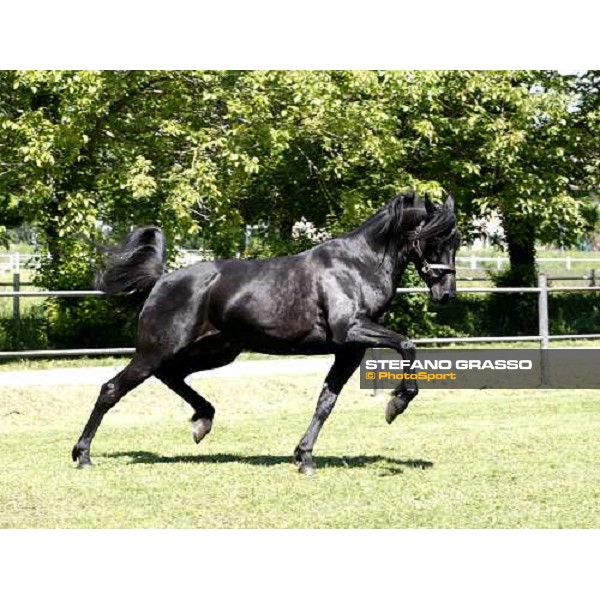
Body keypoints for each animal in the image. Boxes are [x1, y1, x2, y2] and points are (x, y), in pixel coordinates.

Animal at [72, 191, 462, 474]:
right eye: (434, 238)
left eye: (455, 241)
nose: (446, 294)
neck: (358, 265)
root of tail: (161, 280)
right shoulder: (352, 332)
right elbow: (408, 345)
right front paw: (395, 405)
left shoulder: (349, 351)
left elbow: (326, 402)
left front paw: (304, 458)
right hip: (157, 349)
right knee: (112, 389)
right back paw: (83, 455)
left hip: (216, 351)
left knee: (172, 376)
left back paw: (202, 421)